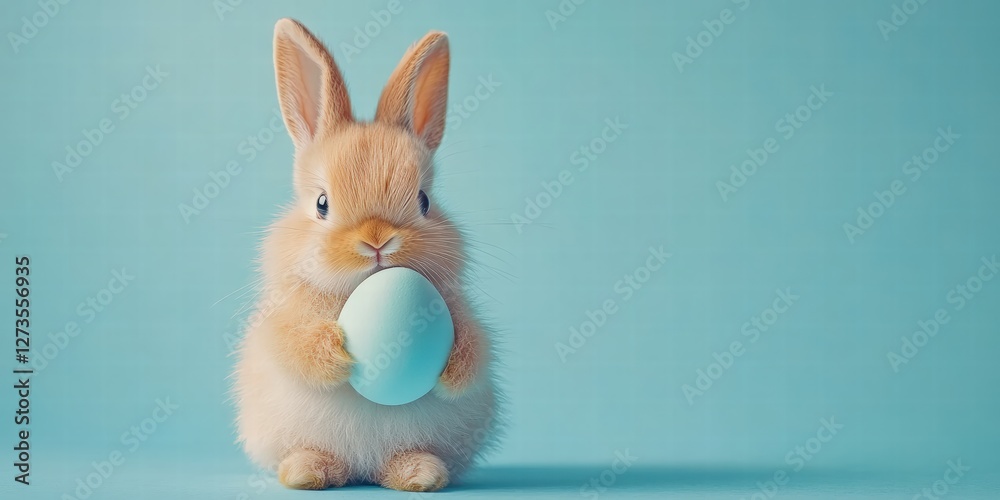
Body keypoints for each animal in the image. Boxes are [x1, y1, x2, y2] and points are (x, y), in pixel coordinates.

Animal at [232, 18, 500, 492]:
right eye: (321, 204)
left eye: (424, 201)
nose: (377, 241)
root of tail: (362, 467)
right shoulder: (281, 318)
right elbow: (293, 343)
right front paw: (337, 353)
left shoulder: (461, 310)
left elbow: (474, 343)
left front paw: (452, 370)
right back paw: (307, 471)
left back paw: (420, 474)